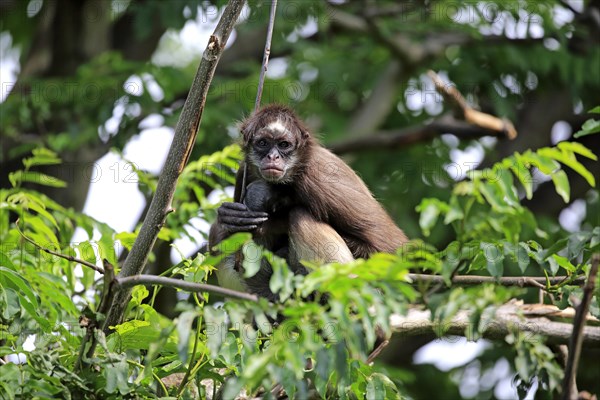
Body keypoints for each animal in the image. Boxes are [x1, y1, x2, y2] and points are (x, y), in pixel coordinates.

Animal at [207, 104, 408, 300]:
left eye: (284, 145)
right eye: (263, 143)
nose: (273, 157)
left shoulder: (318, 176)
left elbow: (391, 250)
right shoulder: (245, 170)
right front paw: (229, 218)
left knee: (299, 214)